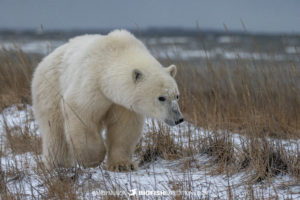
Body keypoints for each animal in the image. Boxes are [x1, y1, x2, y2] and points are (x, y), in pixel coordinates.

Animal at [31, 28, 184, 171]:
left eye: (177, 96)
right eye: (161, 98)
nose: (178, 118)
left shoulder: (124, 104)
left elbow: (124, 129)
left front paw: (122, 165)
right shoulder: (92, 84)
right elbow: (81, 114)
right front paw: (92, 158)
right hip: (50, 87)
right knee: (54, 130)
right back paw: (58, 164)